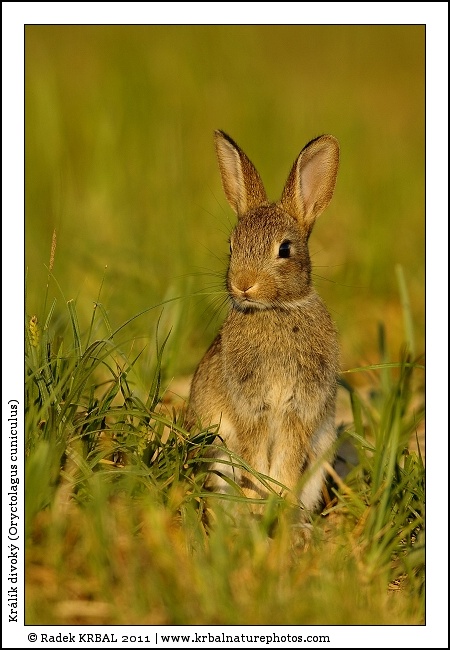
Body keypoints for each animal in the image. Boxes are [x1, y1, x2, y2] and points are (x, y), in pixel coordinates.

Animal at [187, 130, 340, 516]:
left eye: (284, 249)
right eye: (231, 246)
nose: (243, 284)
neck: (275, 310)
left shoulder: (299, 410)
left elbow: (286, 459)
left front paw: (279, 501)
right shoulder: (251, 408)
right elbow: (254, 459)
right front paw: (260, 503)